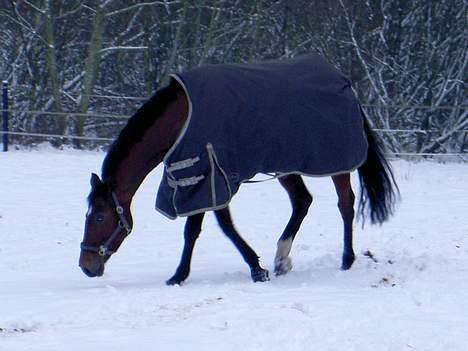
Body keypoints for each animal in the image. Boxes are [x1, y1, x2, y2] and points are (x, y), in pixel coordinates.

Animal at [79, 55, 398, 286]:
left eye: (99, 216)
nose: (86, 266)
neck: (181, 120)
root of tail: (346, 85)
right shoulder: (202, 179)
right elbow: (206, 228)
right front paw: (185, 274)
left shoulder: (211, 175)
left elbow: (215, 228)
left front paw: (252, 269)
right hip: (285, 166)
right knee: (302, 201)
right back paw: (282, 258)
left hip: (336, 165)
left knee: (345, 203)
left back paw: (346, 260)